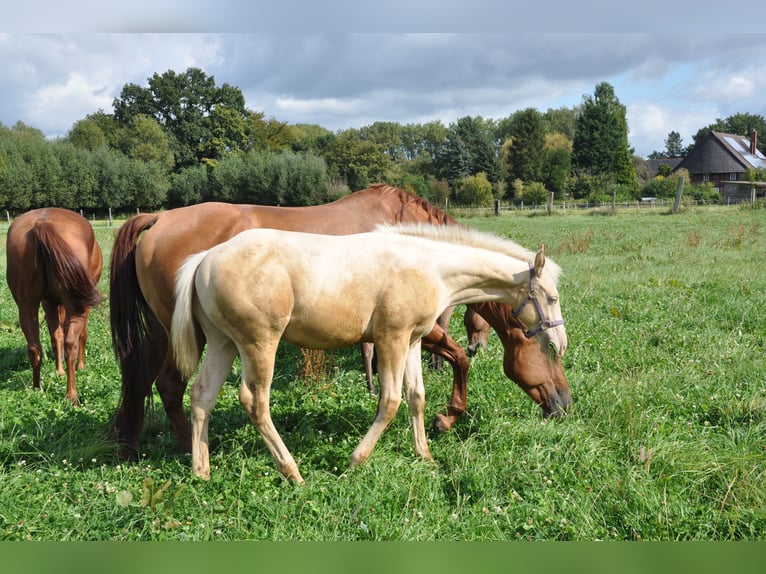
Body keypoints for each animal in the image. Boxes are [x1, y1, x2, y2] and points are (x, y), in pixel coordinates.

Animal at [4, 208, 104, 404]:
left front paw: (59, 371)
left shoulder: (49, 302)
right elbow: (81, 335)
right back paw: (72, 395)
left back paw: (37, 389)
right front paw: (81, 366)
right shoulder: (83, 304)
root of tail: (42, 223)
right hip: (75, 305)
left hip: (26, 305)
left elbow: (56, 335)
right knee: (71, 342)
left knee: (34, 347)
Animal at [111, 187, 572, 462]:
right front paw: (446, 418)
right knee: (176, 386)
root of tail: (158, 219)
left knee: (169, 386)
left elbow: (416, 391)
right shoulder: (400, 335)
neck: (422, 255)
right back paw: (195, 451)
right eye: (547, 351)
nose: (564, 404)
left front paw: (429, 436)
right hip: (195, 336)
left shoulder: (408, 338)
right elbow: (447, 366)